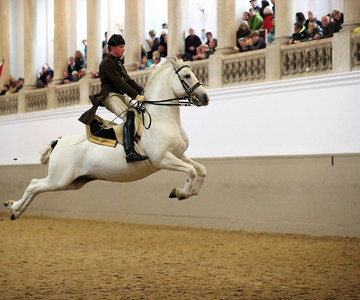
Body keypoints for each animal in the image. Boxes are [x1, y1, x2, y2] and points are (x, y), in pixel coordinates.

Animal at [4, 58, 210, 219]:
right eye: (187, 76)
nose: (205, 97)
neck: (162, 118)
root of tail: (58, 143)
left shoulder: (179, 155)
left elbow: (201, 170)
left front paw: (186, 192)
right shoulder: (162, 159)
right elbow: (191, 171)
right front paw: (181, 193)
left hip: (71, 183)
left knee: (36, 186)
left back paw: (15, 210)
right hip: (59, 179)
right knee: (33, 185)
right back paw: (13, 207)